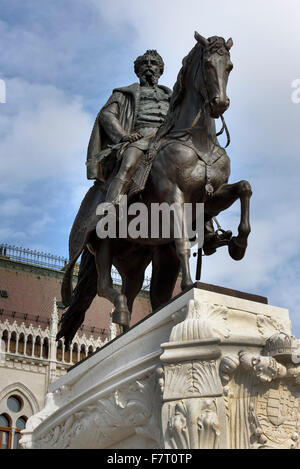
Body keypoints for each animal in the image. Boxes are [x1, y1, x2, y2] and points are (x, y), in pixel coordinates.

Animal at [57, 31, 252, 342]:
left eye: (230, 66)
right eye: (208, 64)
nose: (219, 103)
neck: (197, 140)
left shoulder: (210, 198)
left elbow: (244, 187)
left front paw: (238, 244)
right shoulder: (174, 196)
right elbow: (182, 241)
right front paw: (189, 285)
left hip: (135, 261)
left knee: (135, 292)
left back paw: (125, 326)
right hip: (104, 243)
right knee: (105, 285)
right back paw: (121, 311)